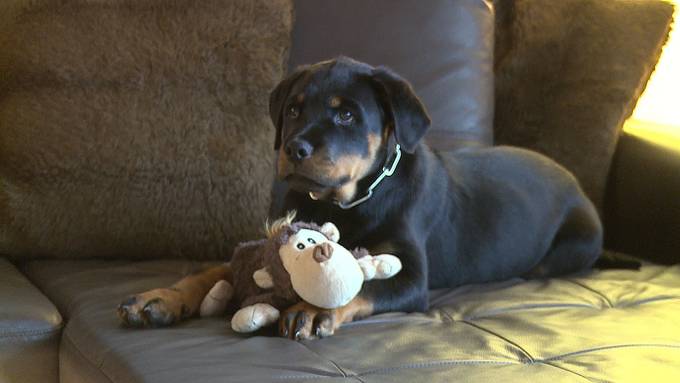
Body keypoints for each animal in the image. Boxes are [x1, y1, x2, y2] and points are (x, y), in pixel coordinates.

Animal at [117, 56, 600, 340]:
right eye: (293, 109)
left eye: (347, 115)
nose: (294, 148)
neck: (344, 203)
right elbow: (211, 270)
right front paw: (158, 299)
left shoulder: (411, 275)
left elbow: (365, 282)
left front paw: (312, 309)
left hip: (574, 243)